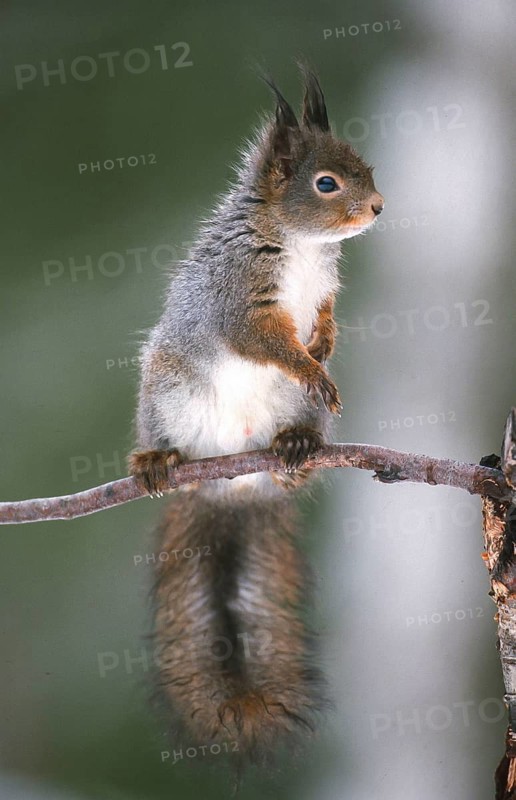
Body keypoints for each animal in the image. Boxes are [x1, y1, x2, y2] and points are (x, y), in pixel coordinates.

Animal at [128, 67, 384, 764]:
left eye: (367, 168)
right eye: (326, 183)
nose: (380, 207)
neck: (301, 245)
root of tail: (232, 481)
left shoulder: (321, 294)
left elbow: (323, 319)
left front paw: (324, 348)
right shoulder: (239, 297)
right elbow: (265, 341)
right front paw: (312, 366)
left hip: (285, 419)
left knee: (293, 449)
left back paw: (296, 450)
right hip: (168, 390)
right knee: (163, 439)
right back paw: (156, 459)